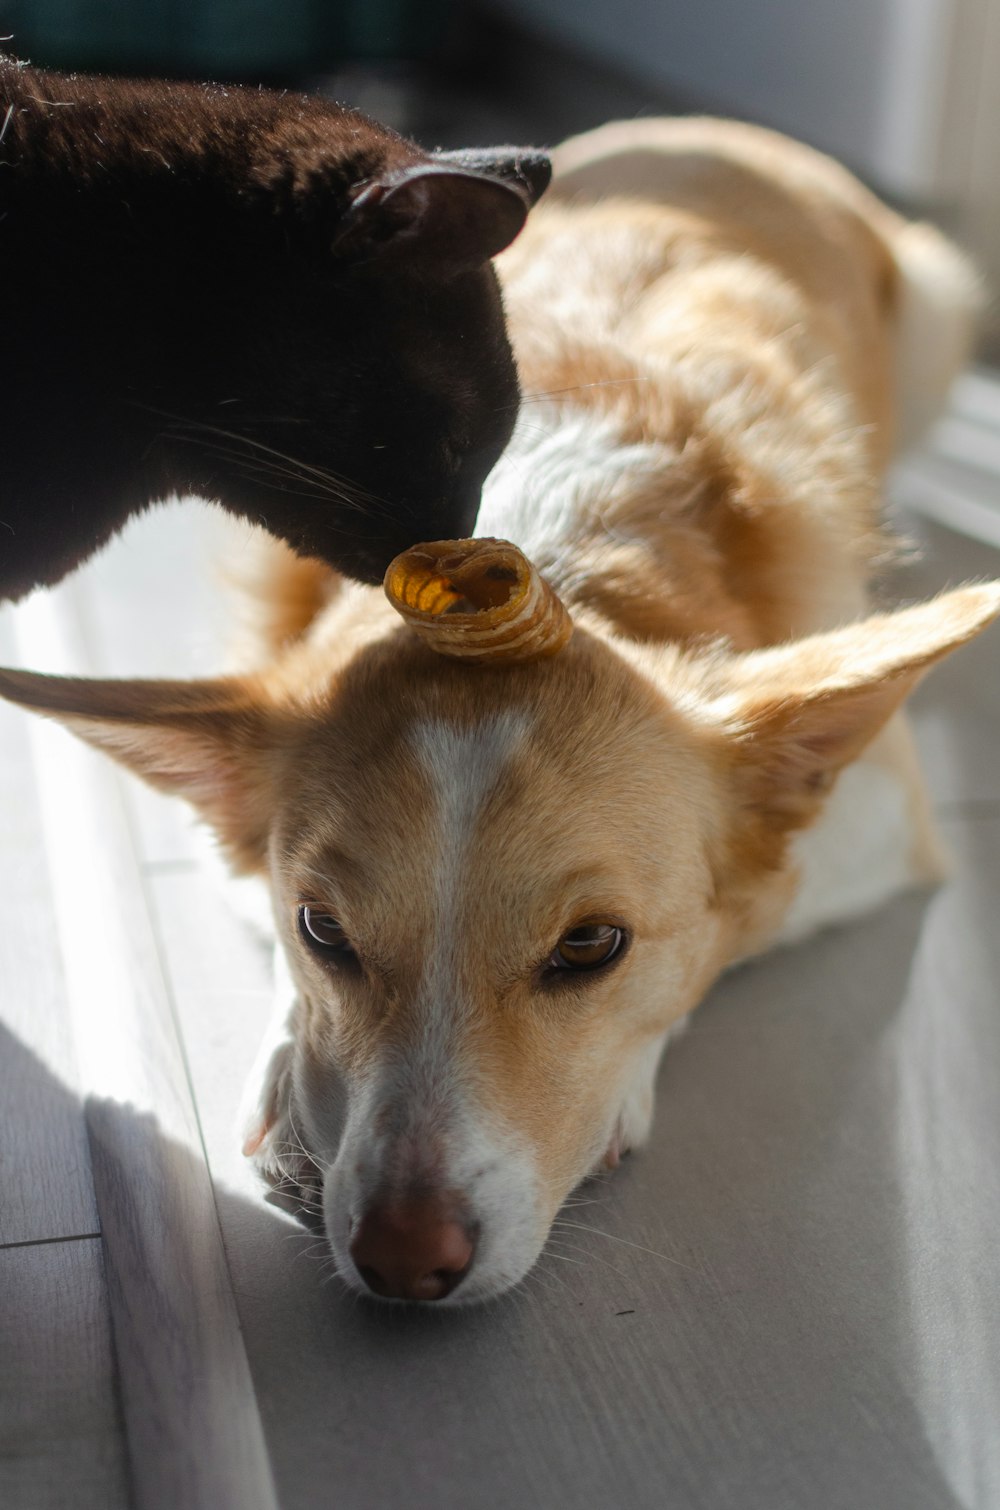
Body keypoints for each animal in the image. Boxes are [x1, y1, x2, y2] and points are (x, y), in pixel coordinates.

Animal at [1, 117, 1000, 1304]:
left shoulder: (878, 819)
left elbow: (725, 937)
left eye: (592, 949)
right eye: (323, 931)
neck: (540, 552)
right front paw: (292, 1081)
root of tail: (712, 129)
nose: (402, 1265)